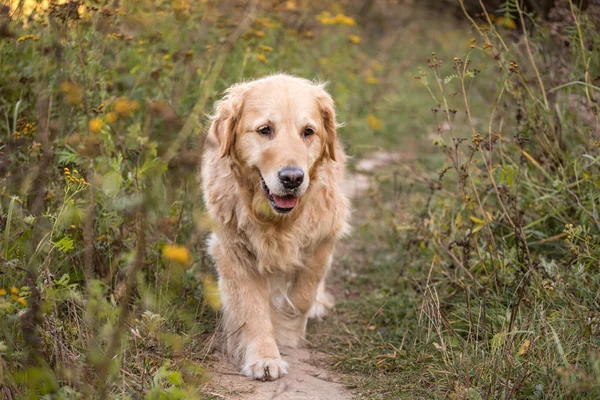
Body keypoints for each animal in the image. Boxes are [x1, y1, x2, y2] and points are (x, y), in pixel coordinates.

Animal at [199, 73, 350, 380]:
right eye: (265, 130)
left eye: (308, 132)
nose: (292, 178)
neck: (275, 221)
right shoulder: (233, 250)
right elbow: (252, 309)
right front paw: (264, 357)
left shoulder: (323, 237)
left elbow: (302, 295)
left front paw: (285, 330)